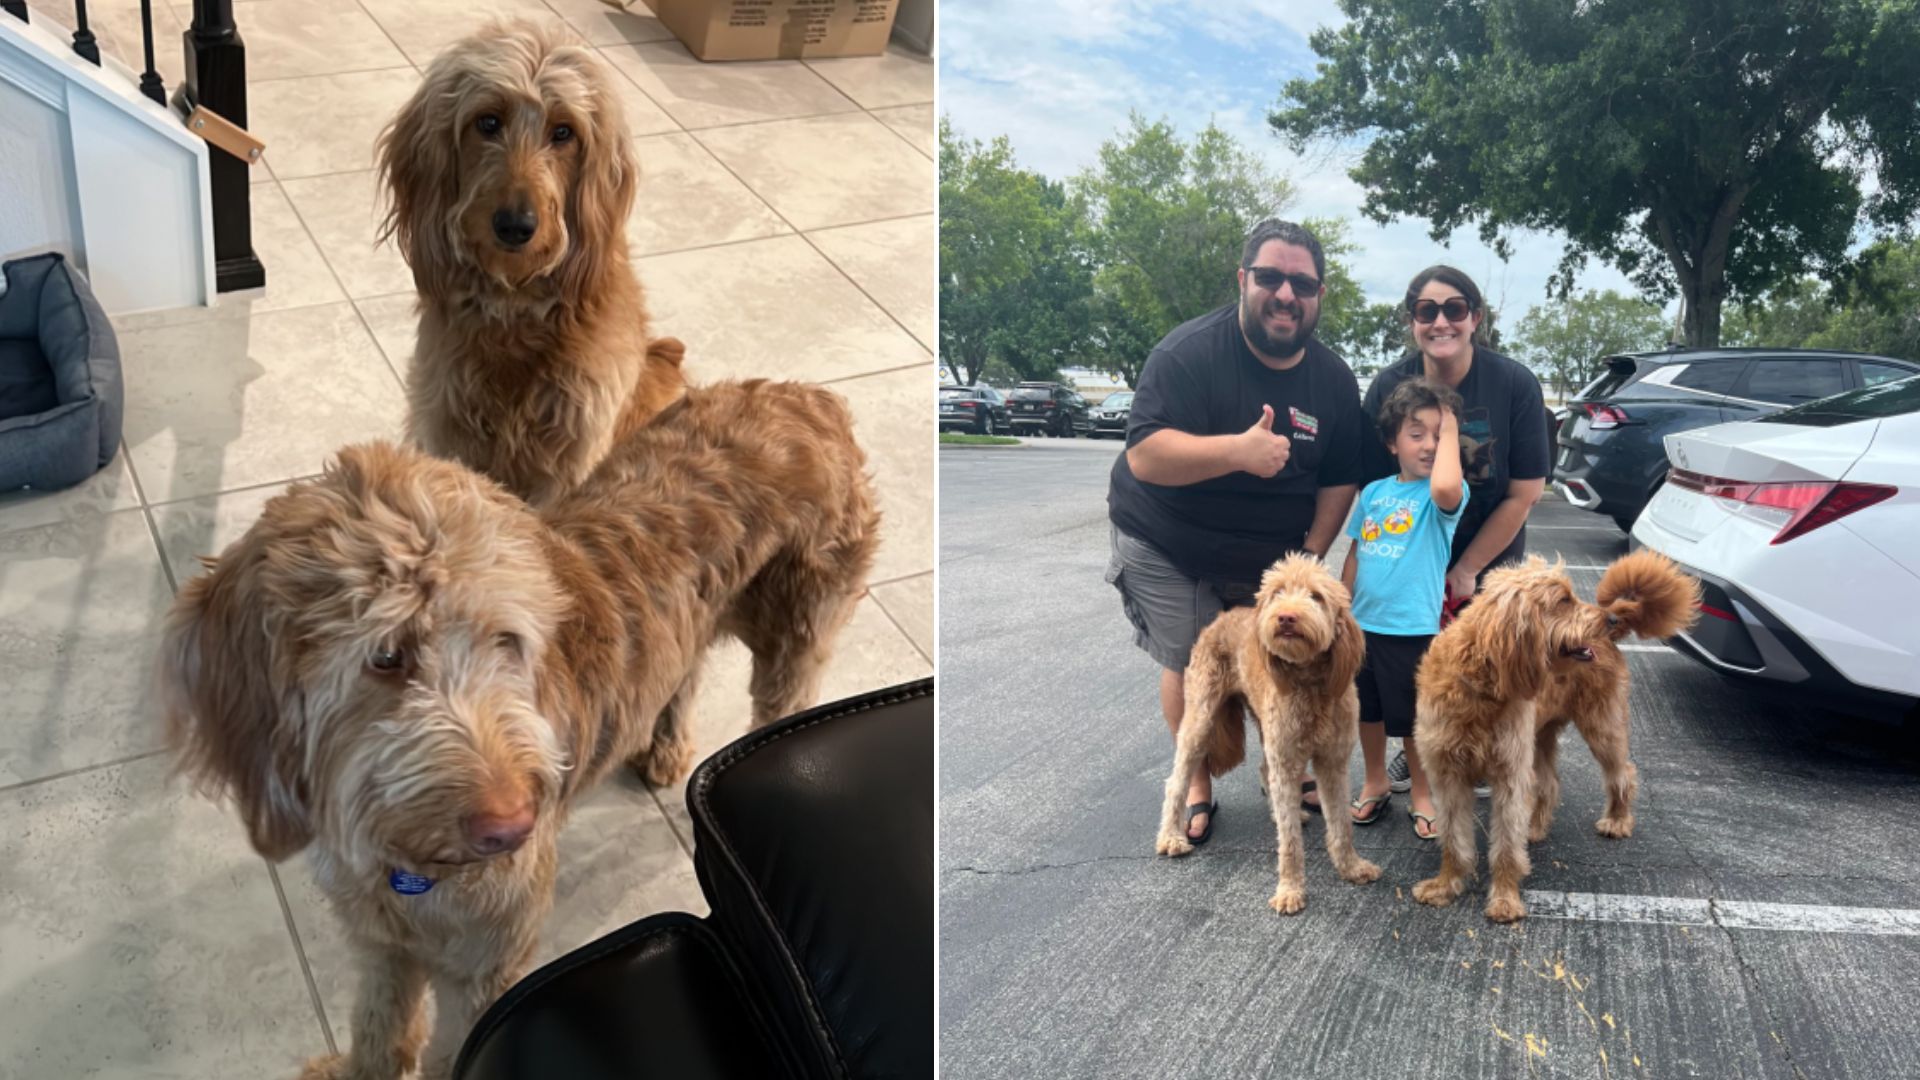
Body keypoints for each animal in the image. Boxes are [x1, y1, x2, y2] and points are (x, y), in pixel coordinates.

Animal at [157, 380, 879, 1076]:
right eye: (386, 655)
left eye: (507, 641)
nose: (512, 827)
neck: (410, 859)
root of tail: (808, 396)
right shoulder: (380, 937)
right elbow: (379, 1026)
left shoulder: (488, 964)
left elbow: (452, 1052)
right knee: (688, 667)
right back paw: (667, 743)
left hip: (798, 629)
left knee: (781, 696)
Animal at [374, 22, 683, 507]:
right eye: (488, 121)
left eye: (564, 131)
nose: (515, 226)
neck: (515, 308)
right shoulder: (444, 424)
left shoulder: (568, 458)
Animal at [1152, 549, 1382, 910]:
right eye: (1277, 593)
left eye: (1316, 596)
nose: (1286, 617)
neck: (1310, 684)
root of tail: (1219, 619)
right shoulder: (1286, 760)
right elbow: (1289, 842)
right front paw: (1289, 889)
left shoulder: (1332, 761)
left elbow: (1341, 823)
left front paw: (1351, 867)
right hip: (1201, 717)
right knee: (1177, 780)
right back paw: (1171, 836)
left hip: (1264, 722)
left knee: (1264, 768)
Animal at [1413, 549, 1697, 922]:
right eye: (1563, 600)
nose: (1606, 619)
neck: (1480, 689)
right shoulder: (1447, 776)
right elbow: (1454, 841)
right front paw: (1445, 886)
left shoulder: (1509, 775)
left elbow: (1506, 847)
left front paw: (1505, 899)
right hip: (1540, 737)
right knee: (1548, 784)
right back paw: (1534, 828)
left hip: (1601, 726)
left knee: (1623, 773)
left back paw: (1617, 820)